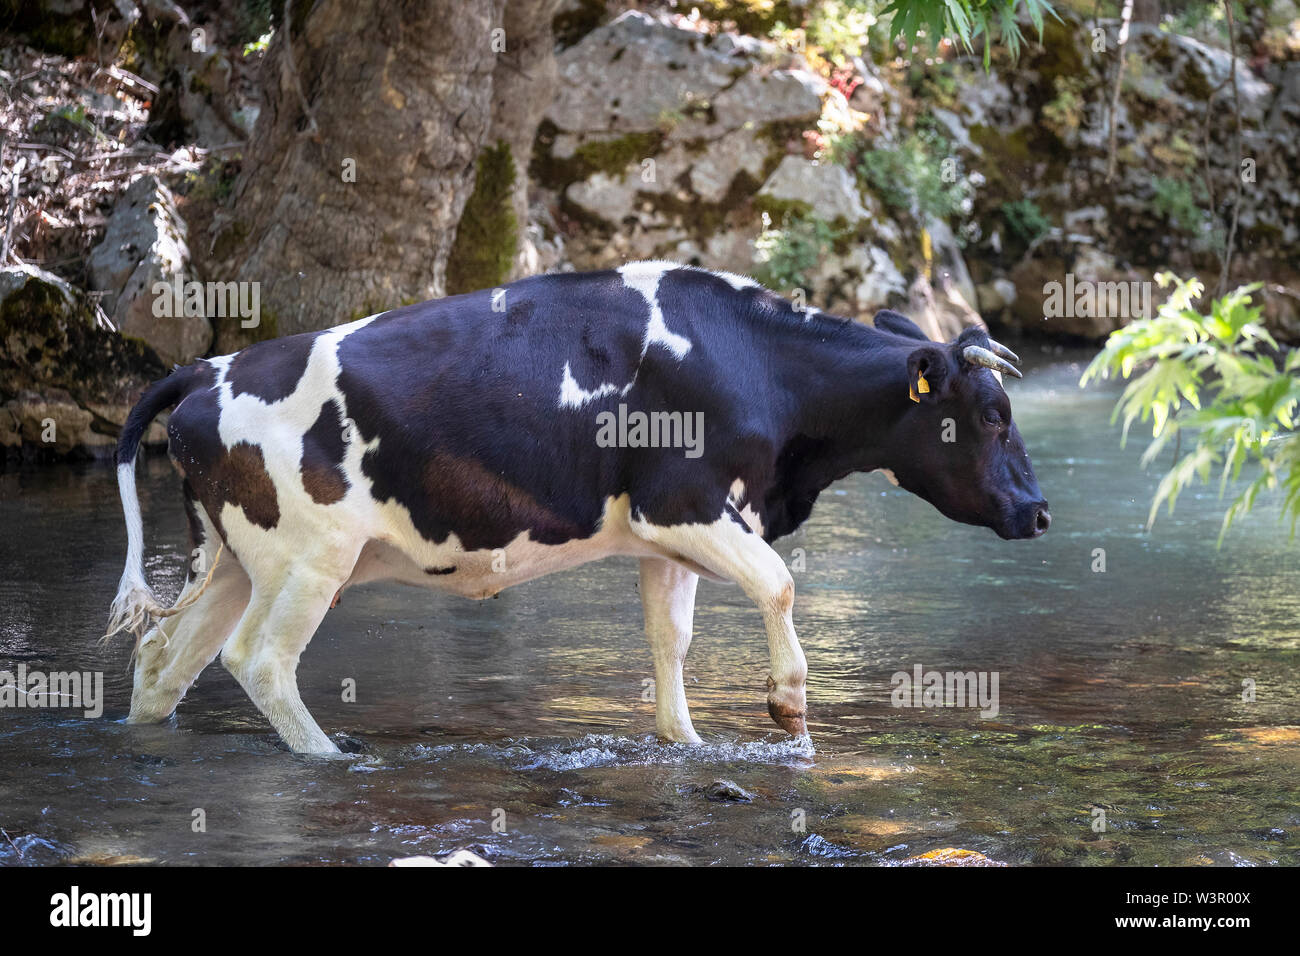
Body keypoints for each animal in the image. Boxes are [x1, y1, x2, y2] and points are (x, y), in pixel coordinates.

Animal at [106, 261, 1050, 754]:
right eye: (990, 415)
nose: (1040, 512)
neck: (757, 363)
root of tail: (209, 369)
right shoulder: (684, 502)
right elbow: (779, 583)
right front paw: (786, 701)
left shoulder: (663, 541)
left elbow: (670, 642)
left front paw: (683, 742)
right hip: (309, 559)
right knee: (258, 660)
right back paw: (330, 758)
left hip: (235, 560)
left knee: (164, 659)